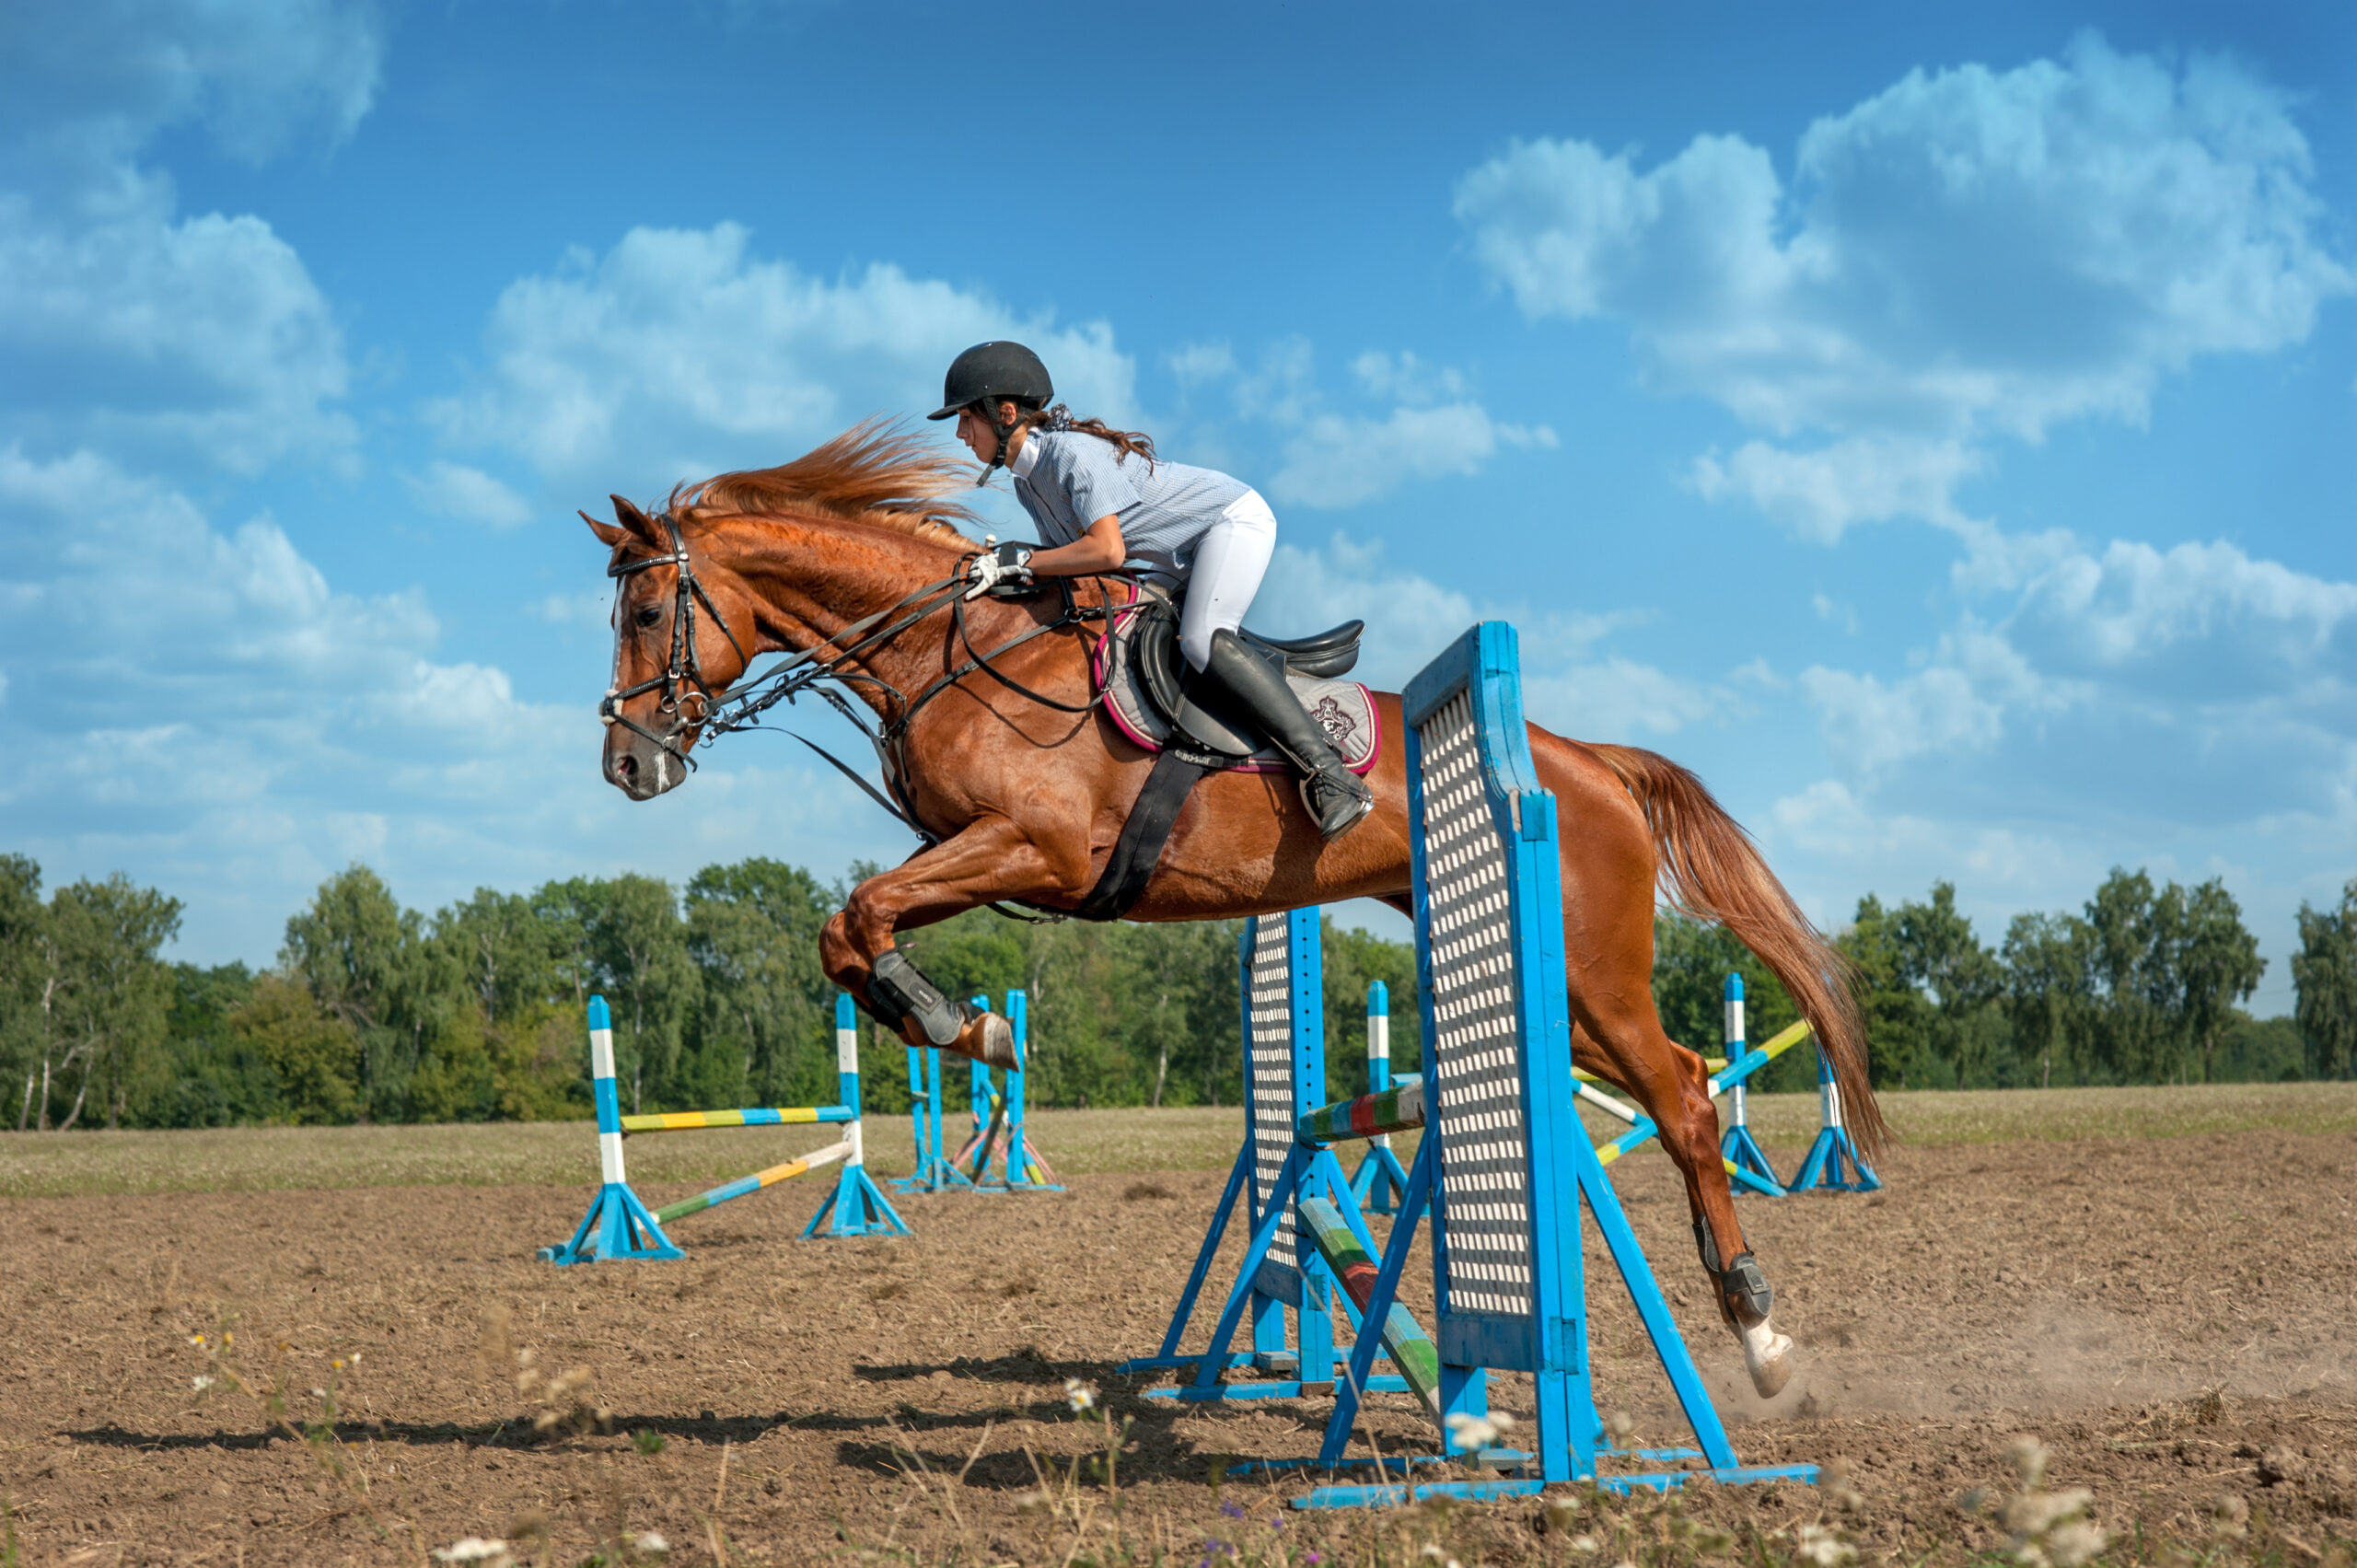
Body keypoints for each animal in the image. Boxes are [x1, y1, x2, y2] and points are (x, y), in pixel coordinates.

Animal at [584, 422, 1887, 1399]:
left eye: (645, 616)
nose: (628, 767)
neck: (955, 649)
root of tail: (1590, 763)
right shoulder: (973, 857)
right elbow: (847, 927)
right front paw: (955, 1020)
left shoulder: (1031, 848)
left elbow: (859, 913)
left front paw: (965, 1025)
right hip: (1563, 994)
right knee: (1680, 1078)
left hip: (1588, 969)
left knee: (1681, 1097)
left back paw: (1759, 1335)